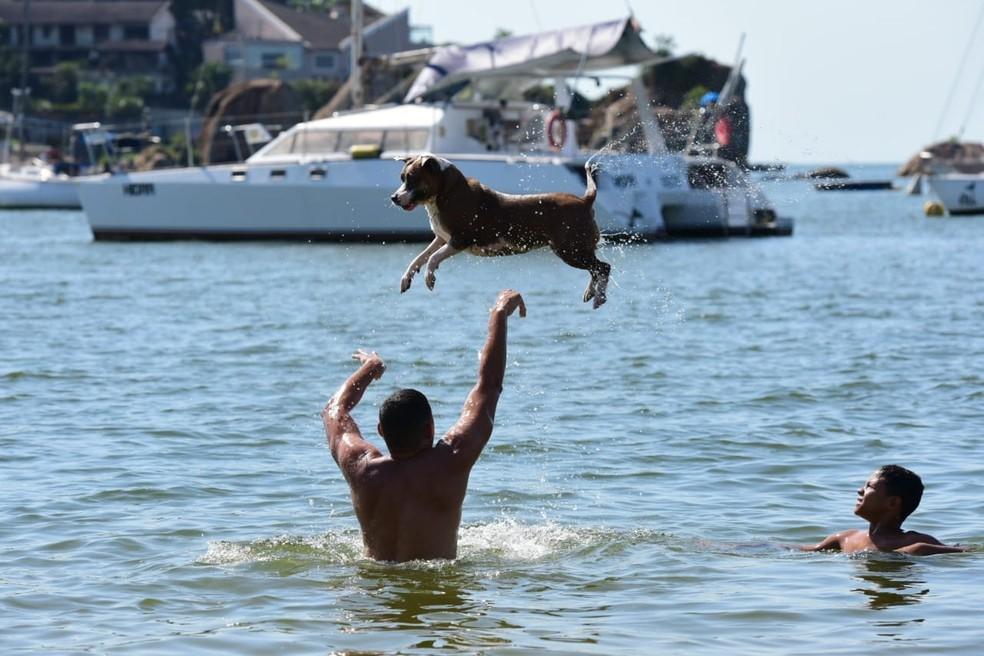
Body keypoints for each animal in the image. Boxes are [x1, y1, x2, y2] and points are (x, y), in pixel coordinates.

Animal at [390, 155, 608, 308]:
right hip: (576, 249)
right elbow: (420, 258)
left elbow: (433, 259)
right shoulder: (441, 239)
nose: (394, 197)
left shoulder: (459, 240)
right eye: (402, 178)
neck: (447, 192)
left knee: (603, 268)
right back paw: (591, 293)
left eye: (412, 179)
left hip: (570, 250)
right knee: (595, 269)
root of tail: (585, 200)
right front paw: (406, 278)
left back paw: (599, 298)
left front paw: (429, 278)